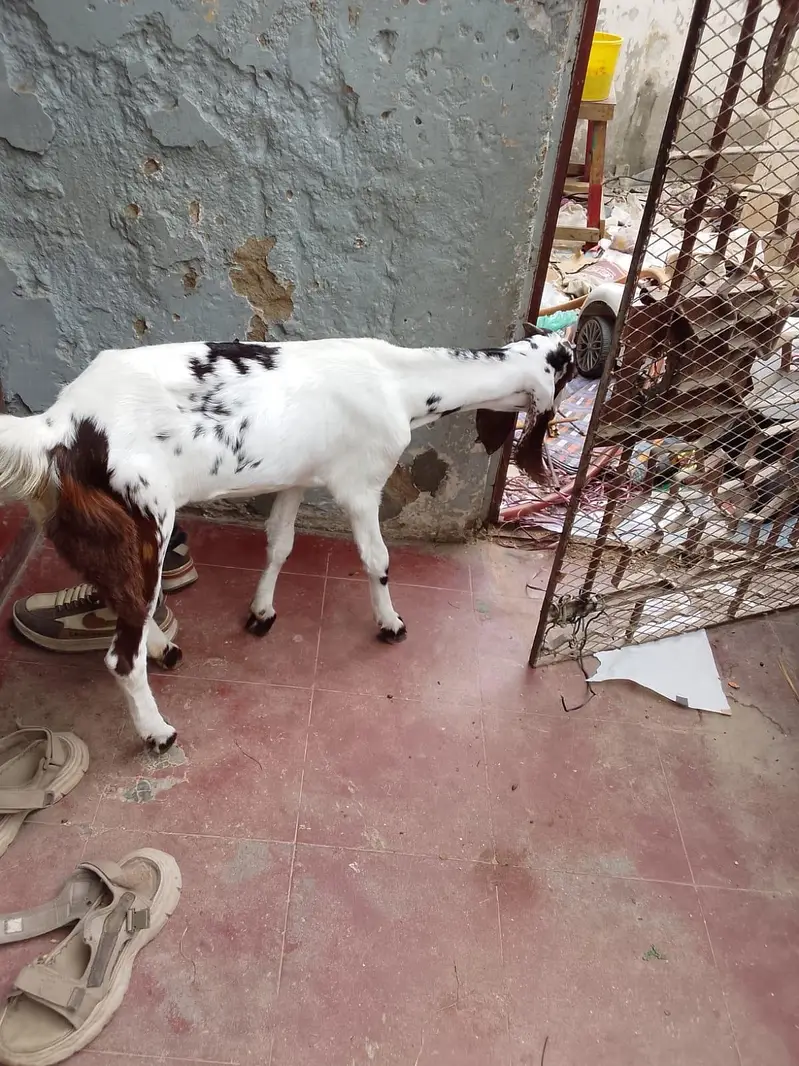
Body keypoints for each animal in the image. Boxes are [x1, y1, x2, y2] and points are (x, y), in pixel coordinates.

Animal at [0, 328, 573, 752]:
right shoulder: (360, 485)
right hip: (147, 519)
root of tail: (57, 427)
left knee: (124, 600)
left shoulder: (296, 477)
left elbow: (280, 543)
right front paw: (390, 623)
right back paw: (157, 731)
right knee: (122, 653)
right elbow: (377, 559)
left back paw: (163, 648)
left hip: (97, 528)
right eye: (566, 364)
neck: (398, 381)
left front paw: (261, 612)